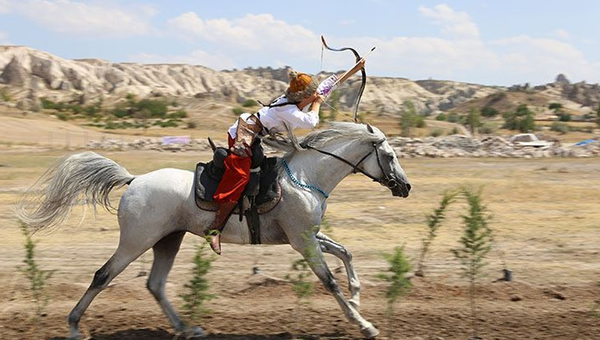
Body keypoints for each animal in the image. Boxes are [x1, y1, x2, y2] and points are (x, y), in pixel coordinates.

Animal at [19, 123, 412, 340]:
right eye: (391, 156)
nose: (405, 187)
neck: (305, 179)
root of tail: (133, 180)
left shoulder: (308, 236)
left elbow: (346, 252)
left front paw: (358, 297)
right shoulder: (303, 242)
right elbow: (329, 281)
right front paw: (364, 324)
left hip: (168, 240)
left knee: (155, 284)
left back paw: (186, 328)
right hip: (136, 241)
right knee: (103, 275)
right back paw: (73, 327)